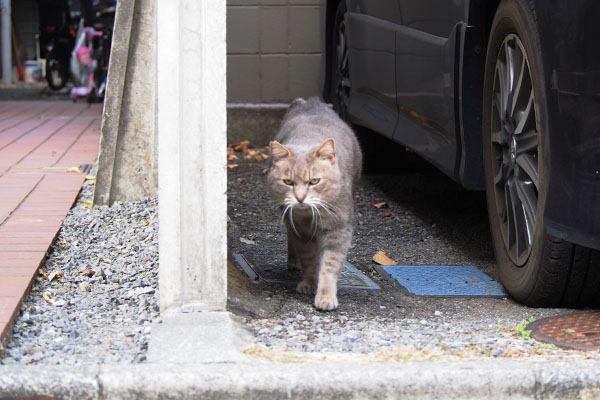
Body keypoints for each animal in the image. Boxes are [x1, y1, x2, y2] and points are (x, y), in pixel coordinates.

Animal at [268, 97, 360, 310]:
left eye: (315, 181)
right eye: (288, 182)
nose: (300, 198)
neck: (310, 216)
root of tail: (311, 101)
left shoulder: (338, 229)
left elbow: (330, 265)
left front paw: (325, 296)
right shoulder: (300, 230)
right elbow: (308, 259)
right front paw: (309, 282)